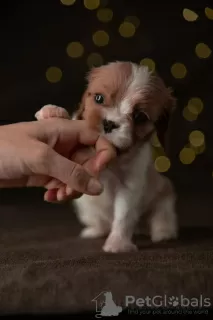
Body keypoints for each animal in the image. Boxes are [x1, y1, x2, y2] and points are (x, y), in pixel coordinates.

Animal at [35, 61, 178, 254]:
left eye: (140, 117)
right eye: (98, 98)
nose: (109, 124)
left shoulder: (130, 187)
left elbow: (123, 215)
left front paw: (117, 243)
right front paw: (52, 113)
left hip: (164, 197)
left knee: (162, 216)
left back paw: (163, 233)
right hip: (86, 210)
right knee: (100, 223)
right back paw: (95, 230)